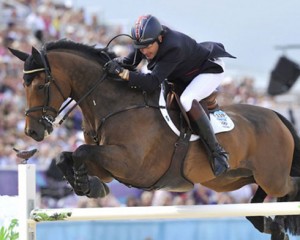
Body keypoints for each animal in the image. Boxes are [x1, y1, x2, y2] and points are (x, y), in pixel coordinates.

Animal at [8, 38, 300, 239]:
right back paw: (268, 223)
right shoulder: (107, 167)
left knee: (290, 187)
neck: (114, 104)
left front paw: (87, 185)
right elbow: (65, 157)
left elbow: (80, 152)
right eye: (23, 85)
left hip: (272, 176)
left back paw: (277, 222)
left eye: (41, 85)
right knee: (258, 197)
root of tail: (277, 114)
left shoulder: (132, 164)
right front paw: (89, 186)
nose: (32, 132)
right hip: (230, 180)